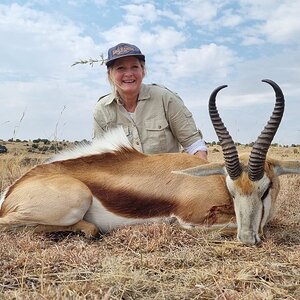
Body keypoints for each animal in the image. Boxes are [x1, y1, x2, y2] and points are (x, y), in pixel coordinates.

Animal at [0, 79, 298, 244]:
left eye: (266, 189)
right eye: (232, 190)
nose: (248, 239)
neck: (213, 181)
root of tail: (12, 191)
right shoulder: (190, 218)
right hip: (76, 200)